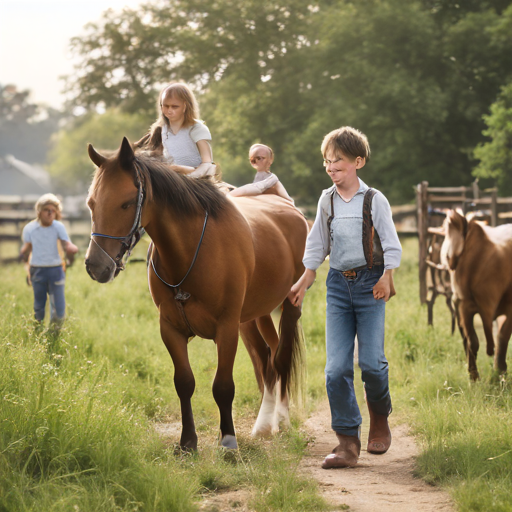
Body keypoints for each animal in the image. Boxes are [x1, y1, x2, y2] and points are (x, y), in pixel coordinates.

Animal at [84, 138, 308, 450]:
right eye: (92, 203)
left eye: (126, 203)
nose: (96, 265)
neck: (191, 249)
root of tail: (289, 208)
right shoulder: (171, 329)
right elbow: (184, 382)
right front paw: (188, 442)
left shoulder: (226, 328)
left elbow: (223, 386)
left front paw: (228, 441)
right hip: (255, 315)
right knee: (267, 359)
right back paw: (264, 423)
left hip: (288, 306)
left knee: (281, 357)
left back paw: (282, 421)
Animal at [440, 208, 512, 380]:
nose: (448, 258)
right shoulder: (463, 306)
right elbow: (472, 341)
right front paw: (474, 376)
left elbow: (502, 337)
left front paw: (500, 372)